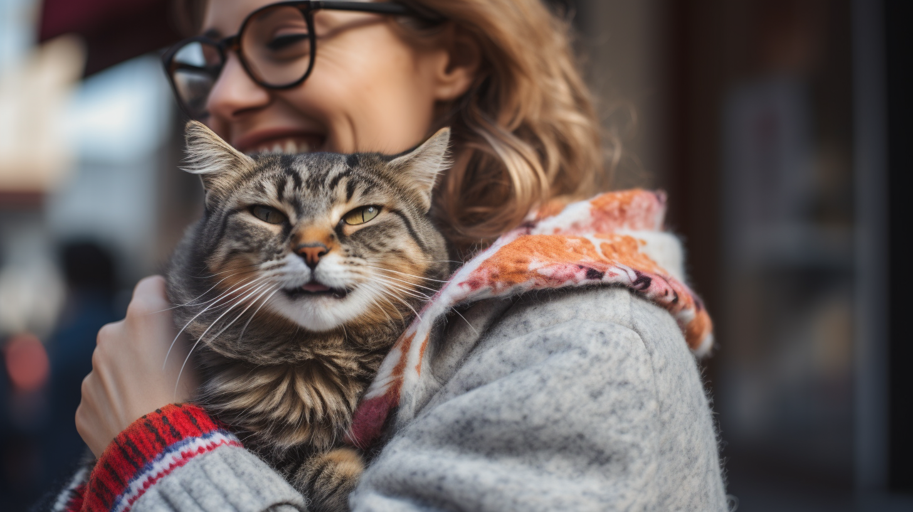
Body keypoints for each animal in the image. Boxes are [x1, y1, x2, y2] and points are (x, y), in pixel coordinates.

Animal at [166, 121, 450, 512]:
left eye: (363, 215)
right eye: (267, 215)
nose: (311, 250)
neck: (321, 356)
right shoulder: (248, 435)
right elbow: (298, 462)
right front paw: (344, 478)